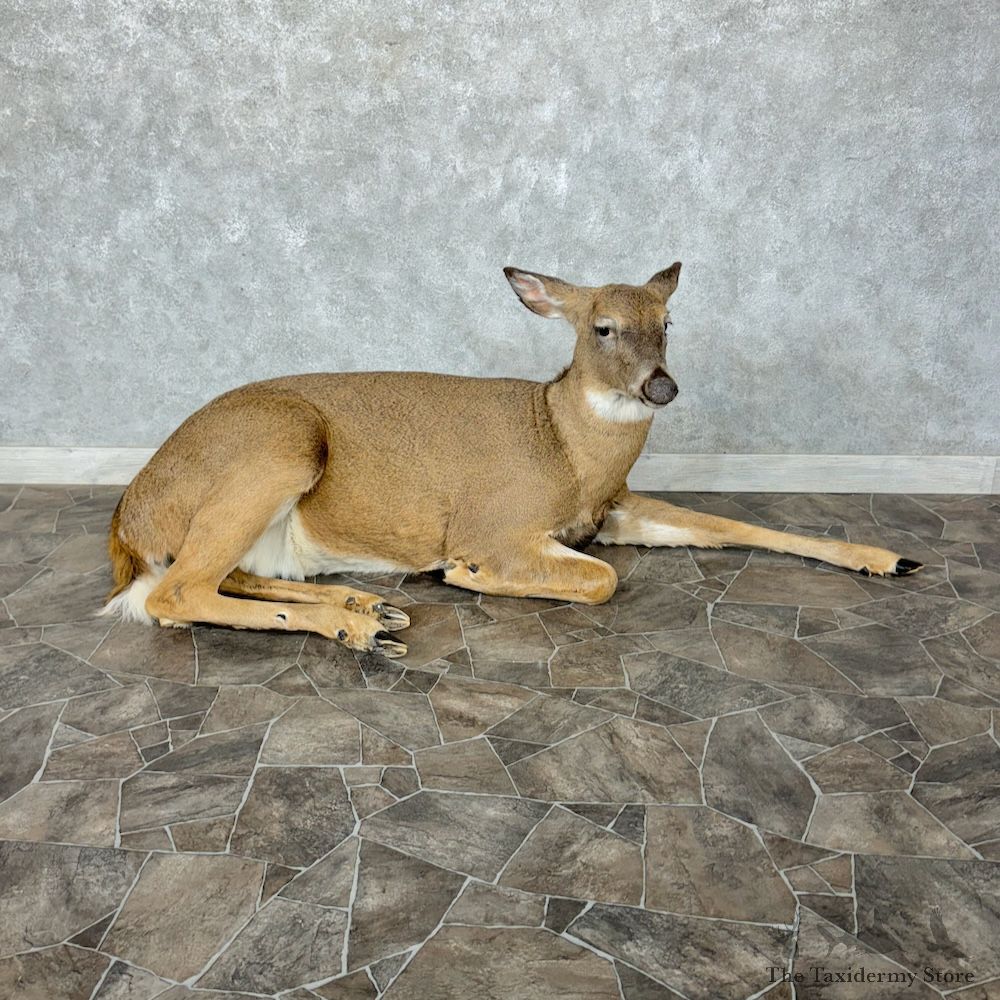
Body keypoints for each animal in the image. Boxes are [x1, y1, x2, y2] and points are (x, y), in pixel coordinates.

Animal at [102, 263, 922, 658]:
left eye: (669, 320)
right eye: (602, 325)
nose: (660, 386)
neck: (566, 448)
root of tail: (127, 521)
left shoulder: (613, 507)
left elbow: (732, 526)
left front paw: (885, 556)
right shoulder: (500, 524)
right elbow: (600, 581)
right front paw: (467, 574)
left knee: (220, 578)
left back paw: (365, 606)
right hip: (277, 446)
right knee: (174, 595)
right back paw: (361, 630)